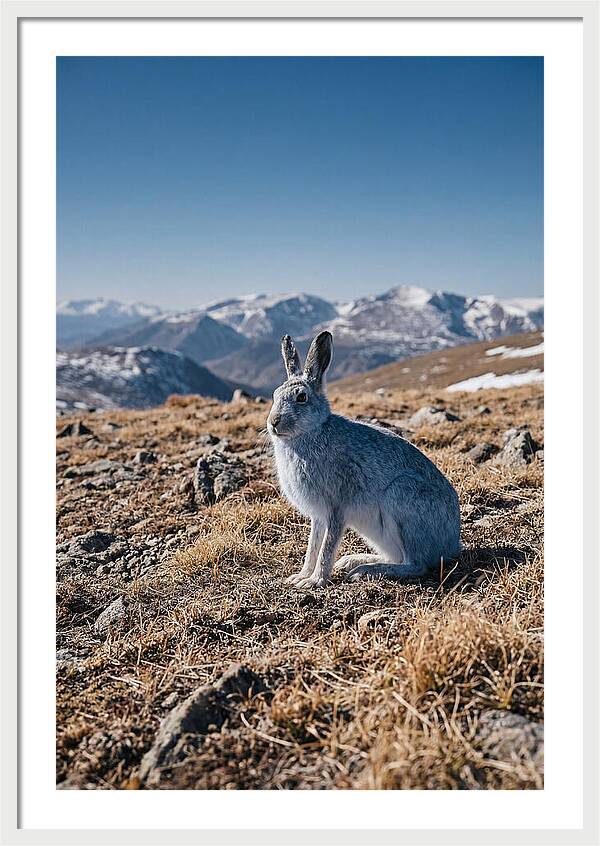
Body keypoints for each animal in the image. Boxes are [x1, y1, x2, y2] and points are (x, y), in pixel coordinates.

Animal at [267, 331, 461, 588]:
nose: (273, 422)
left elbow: (326, 547)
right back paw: (353, 561)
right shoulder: (319, 516)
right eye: (275, 395)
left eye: (301, 397)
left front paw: (315, 581)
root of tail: (452, 545)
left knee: (415, 564)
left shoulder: (336, 506)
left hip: (402, 499)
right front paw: (300, 576)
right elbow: (313, 546)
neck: (311, 432)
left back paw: (366, 570)